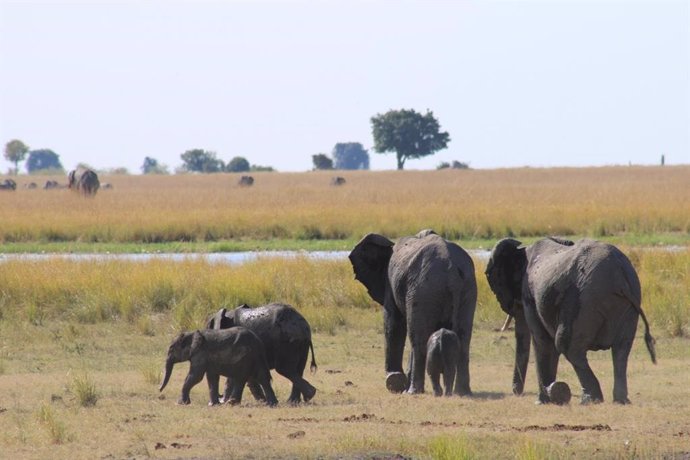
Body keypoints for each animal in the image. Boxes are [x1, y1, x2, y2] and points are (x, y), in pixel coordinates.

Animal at [346, 230, 476, 396]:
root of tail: (451, 270)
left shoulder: (391, 283)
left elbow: (393, 323)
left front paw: (394, 381)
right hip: (467, 288)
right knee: (463, 338)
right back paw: (462, 392)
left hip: (422, 289)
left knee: (417, 338)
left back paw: (412, 391)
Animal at [484, 237, 656, 402]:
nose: (516, 392)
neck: (523, 250)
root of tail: (619, 276)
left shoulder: (530, 295)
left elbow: (542, 340)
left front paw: (543, 400)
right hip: (628, 304)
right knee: (621, 349)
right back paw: (620, 400)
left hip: (585, 299)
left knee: (567, 345)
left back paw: (590, 399)